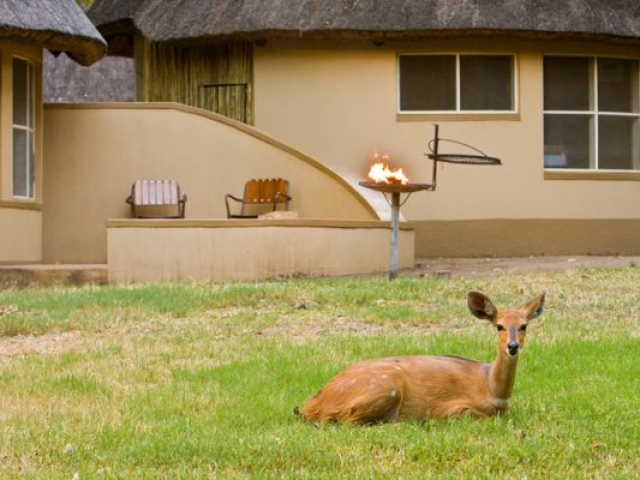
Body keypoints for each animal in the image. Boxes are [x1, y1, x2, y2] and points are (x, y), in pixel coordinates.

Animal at [300, 290, 544, 422]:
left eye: (524, 326)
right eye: (499, 326)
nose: (513, 346)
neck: (491, 388)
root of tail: (311, 407)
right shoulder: (450, 409)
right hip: (385, 387)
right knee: (349, 421)